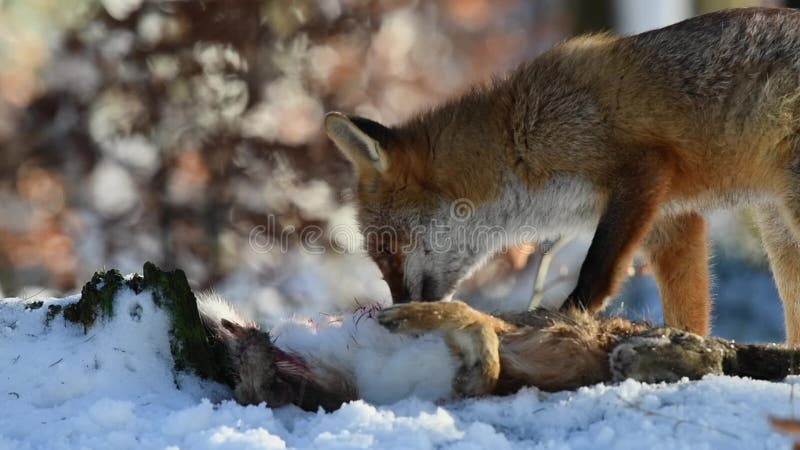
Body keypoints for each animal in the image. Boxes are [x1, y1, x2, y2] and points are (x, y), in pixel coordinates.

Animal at [324, 7, 800, 342]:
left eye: (387, 251)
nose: (395, 312)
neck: (515, 139)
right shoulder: (671, 219)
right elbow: (690, 313)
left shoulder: (641, 169)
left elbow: (595, 271)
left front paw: (569, 320)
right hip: (779, 236)